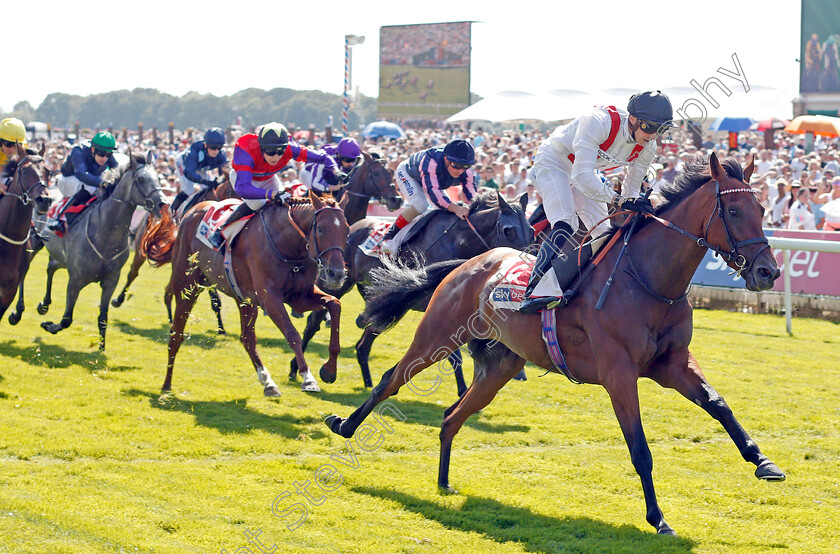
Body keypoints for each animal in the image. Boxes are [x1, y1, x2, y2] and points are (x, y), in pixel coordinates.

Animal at [37, 151, 168, 350]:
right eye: (140, 179)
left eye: (158, 178)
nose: (162, 203)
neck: (106, 234)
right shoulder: (76, 279)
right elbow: (67, 319)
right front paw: (49, 326)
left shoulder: (110, 281)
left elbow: (103, 317)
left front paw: (101, 346)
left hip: (60, 258)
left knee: (50, 267)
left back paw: (44, 305)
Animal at [148, 192, 348, 394]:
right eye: (321, 229)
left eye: (346, 231)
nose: (337, 274)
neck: (287, 246)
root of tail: (191, 211)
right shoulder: (270, 298)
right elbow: (292, 335)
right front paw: (308, 378)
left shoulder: (299, 296)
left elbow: (335, 304)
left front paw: (329, 369)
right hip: (187, 286)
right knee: (176, 334)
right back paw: (166, 385)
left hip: (245, 300)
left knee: (247, 339)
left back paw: (268, 383)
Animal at [296, 188, 528, 390]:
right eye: (508, 230)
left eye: (531, 229)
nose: (524, 265)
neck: (458, 241)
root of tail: (351, 228)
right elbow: (453, 354)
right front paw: (463, 390)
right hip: (338, 282)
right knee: (314, 323)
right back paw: (302, 371)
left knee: (364, 343)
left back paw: (367, 381)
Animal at [324, 153, 784, 532]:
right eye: (734, 210)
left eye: (762, 210)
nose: (768, 271)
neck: (648, 279)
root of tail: (470, 262)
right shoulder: (619, 374)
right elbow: (640, 448)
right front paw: (658, 519)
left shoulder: (673, 364)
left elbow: (718, 404)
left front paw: (763, 461)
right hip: (436, 335)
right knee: (391, 378)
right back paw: (344, 424)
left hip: (501, 366)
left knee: (452, 416)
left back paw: (444, 482)